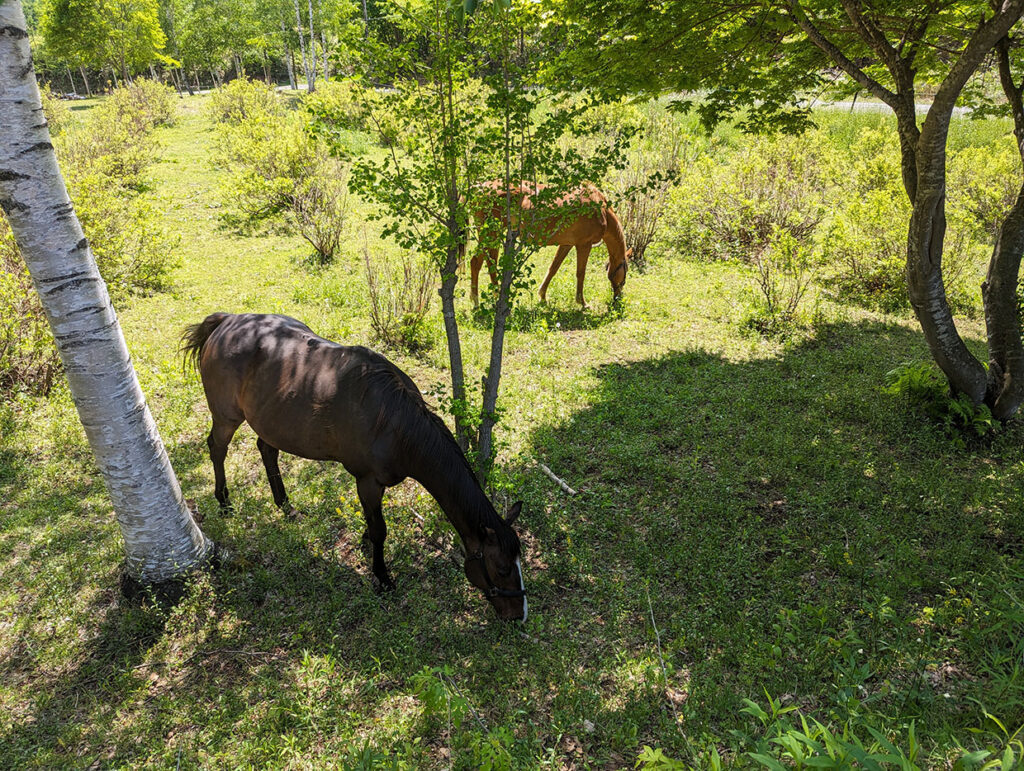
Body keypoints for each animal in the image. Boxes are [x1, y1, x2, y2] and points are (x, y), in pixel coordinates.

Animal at [181, 313, 528, 618]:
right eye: (501, 569)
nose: (519, 615)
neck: (396, 422)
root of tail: (227, 322)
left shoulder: (375, 483)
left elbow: (373, 523)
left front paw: (365, 544)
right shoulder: (368, 481)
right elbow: (379, 530)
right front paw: (382, 576)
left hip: (272, 421)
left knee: (266, 450)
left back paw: (285, 505)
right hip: (227, 417)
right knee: (217, 449)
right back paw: (224, 501)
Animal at [468, 182, 626, 309]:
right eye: (624, 274)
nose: (618, 299)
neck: (600, 209)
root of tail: (479, 187)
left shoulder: (566, 244)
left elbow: (553, 268)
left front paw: (542, 297)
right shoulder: (583, 245)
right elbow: (581, 273)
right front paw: (582, 303)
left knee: (480, 262)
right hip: (491, 234)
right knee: (483, 262)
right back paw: (486, 299)